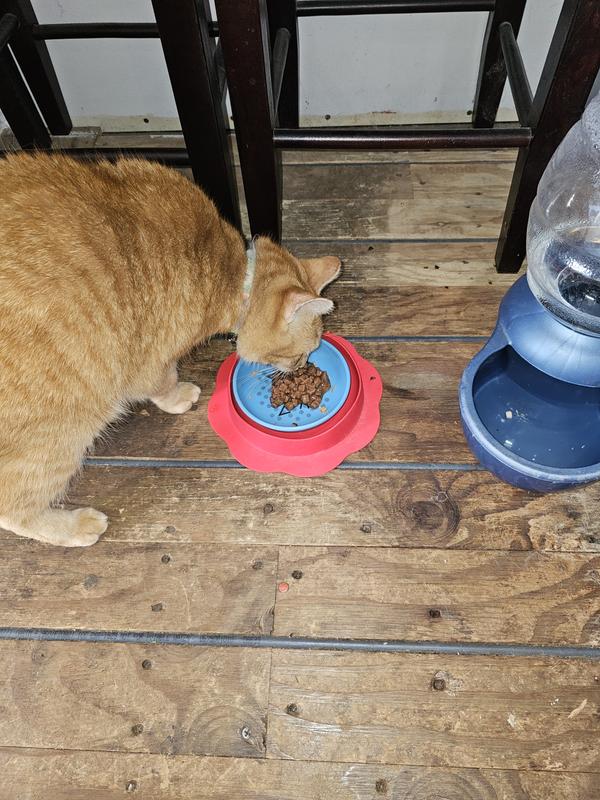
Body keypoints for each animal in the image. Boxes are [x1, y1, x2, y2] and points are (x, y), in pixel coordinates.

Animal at [0, 153, 340, 547]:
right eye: (300, 355)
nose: (299, 369)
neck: (233, 274)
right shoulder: (150, 357)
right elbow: (162, 381)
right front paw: (177, 396)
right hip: (62, 432)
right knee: (14, 510)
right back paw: (76, 527)